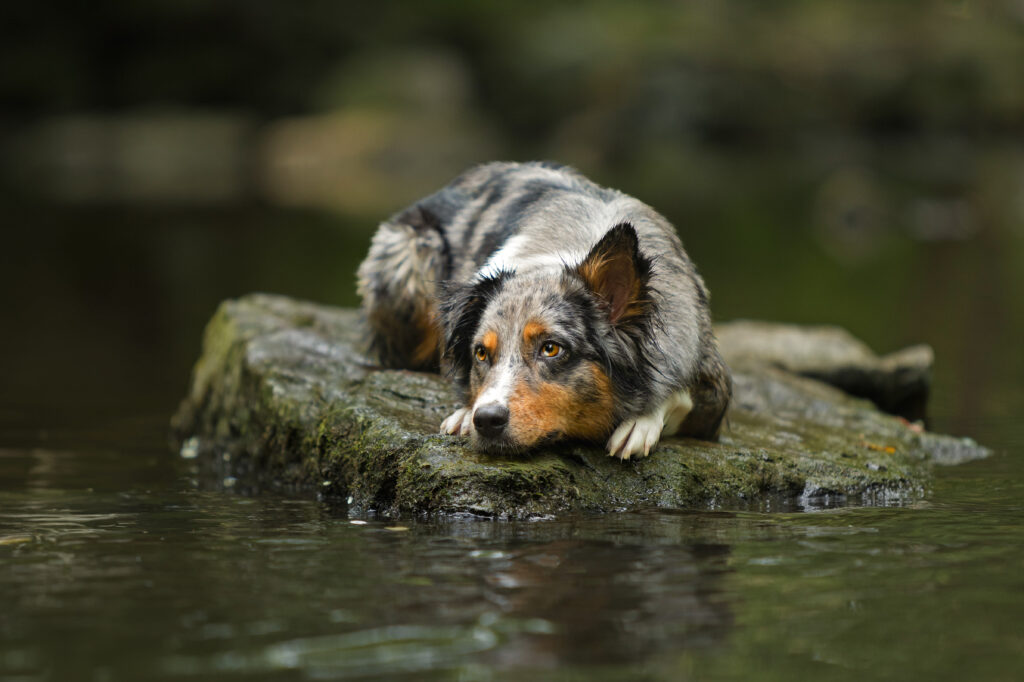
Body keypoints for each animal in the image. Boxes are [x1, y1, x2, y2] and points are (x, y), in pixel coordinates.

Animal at [356, 160, 733, 456]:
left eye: (551, 348)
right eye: (481, 353)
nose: (486, 419)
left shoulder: (713, 385)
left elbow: (679, 394)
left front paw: (639, 423)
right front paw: (464, 413)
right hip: (413, 258)